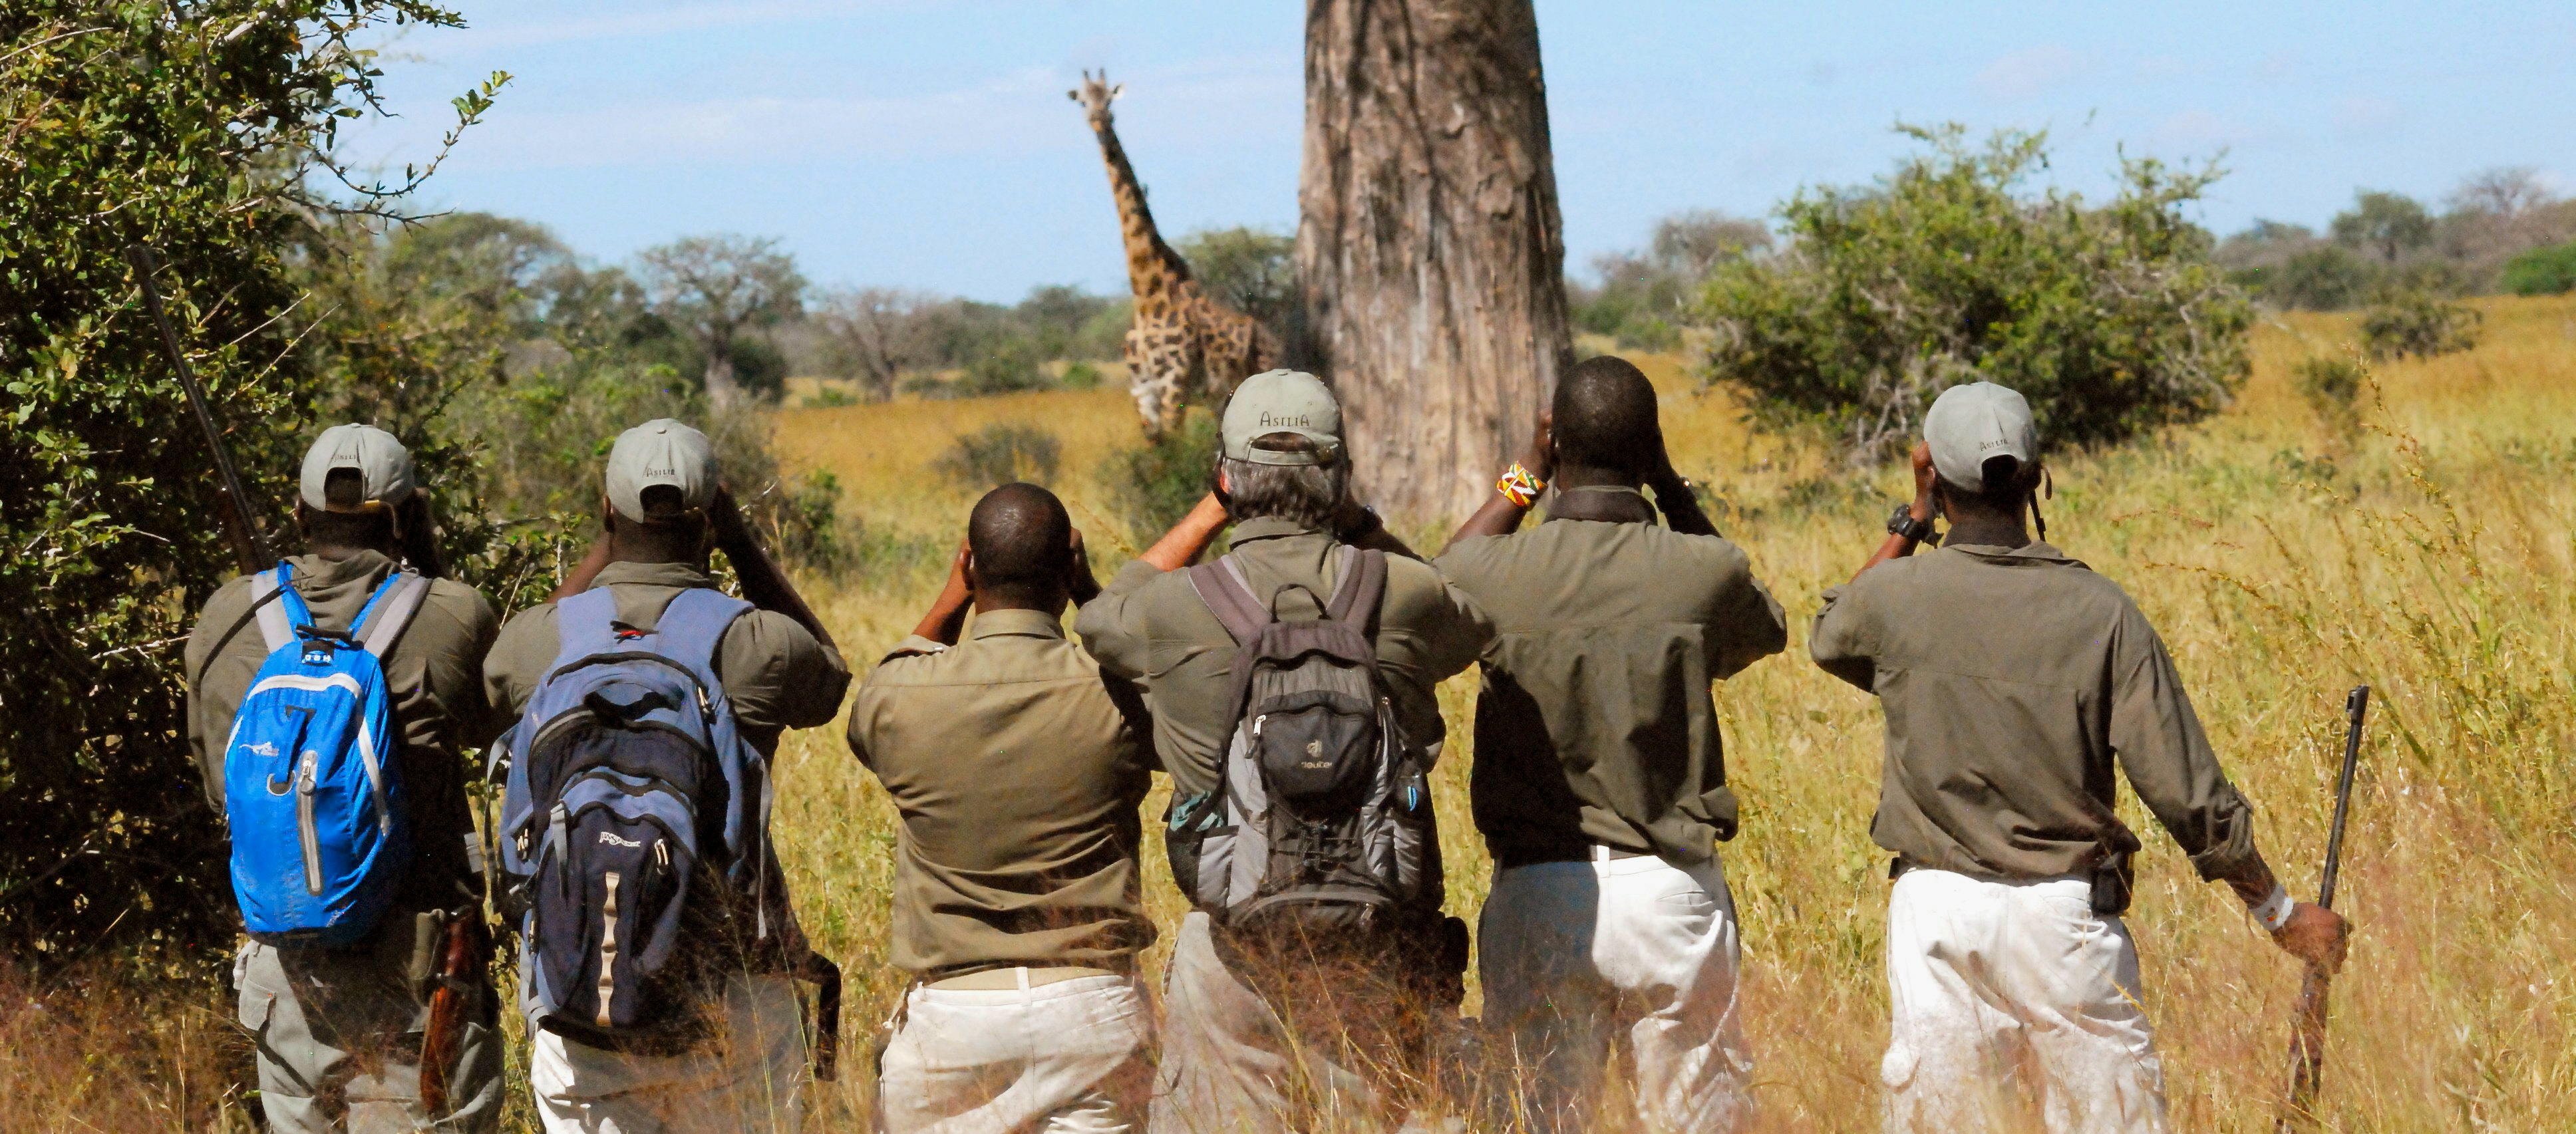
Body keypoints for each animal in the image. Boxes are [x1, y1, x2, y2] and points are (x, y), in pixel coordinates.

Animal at [1066, 69, 1277, 435]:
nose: (1100, 122)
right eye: (1083, 101)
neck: (1146, 295)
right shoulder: (1143, 392)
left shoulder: (1174, 383)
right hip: (1220, 397)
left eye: (1109, 99)